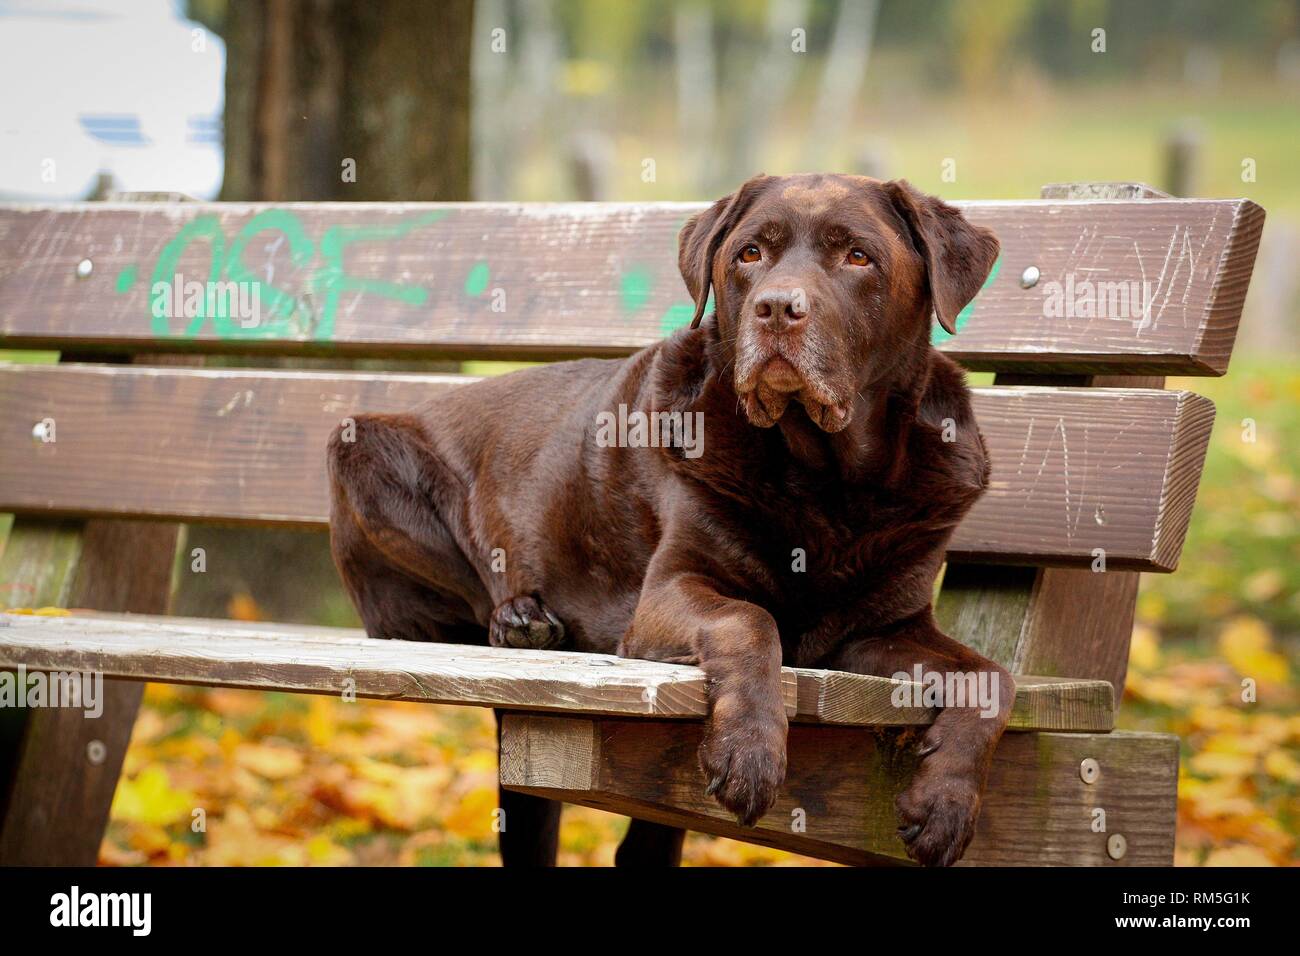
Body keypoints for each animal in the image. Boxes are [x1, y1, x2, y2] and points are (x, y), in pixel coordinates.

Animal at [325, 174, 1003, 868]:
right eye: (750, 254)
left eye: (858, 257)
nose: (776, 309)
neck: (827, 480)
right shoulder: (669, 590)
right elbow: (747, 620)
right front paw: (748, 754)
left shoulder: (882, 628)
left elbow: (989, 678)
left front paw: (946, 804)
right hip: (359, 450)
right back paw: (519, 624)